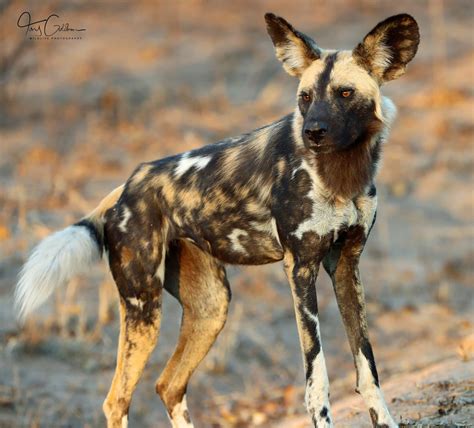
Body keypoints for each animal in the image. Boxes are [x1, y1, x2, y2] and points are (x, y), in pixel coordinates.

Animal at [16, 12, 420, 428]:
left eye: (344, 94)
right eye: (305, 97)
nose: (312, 132)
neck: (342, 175)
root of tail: (125, 187)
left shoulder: (345, 265)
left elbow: (367, 368)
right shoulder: (300, 269)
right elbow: (317, 378)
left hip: (211, 309)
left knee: (169, 385)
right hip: (144, 308)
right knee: (117, 400)